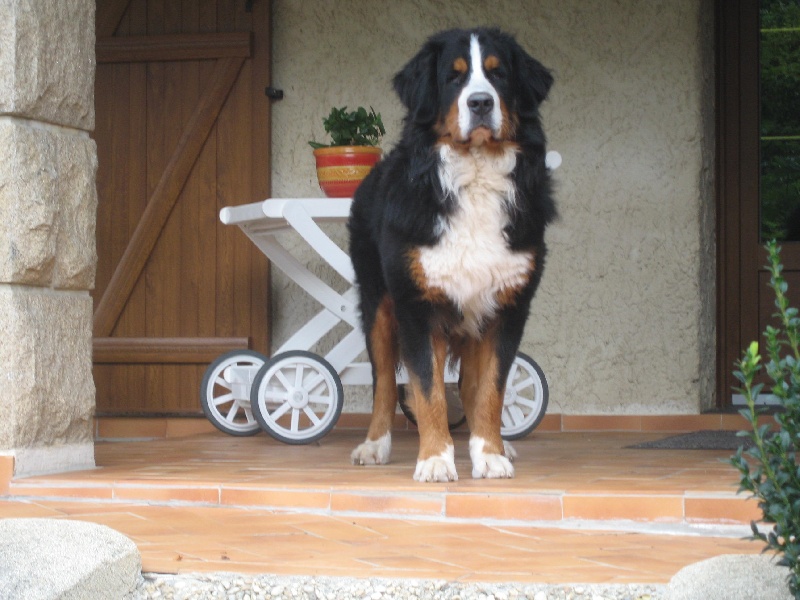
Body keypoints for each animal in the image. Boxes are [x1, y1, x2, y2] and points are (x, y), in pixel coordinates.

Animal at [348, 27, 556, 482]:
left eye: (498, 75)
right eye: (454, 77)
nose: (480, 103)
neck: (474, 175)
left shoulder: (507, 308)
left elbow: (491, 390)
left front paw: (489, 453)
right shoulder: (417, 307)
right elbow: (428, 391)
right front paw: (435, 460)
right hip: (378, 305)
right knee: (384, 383)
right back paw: (374, 445)